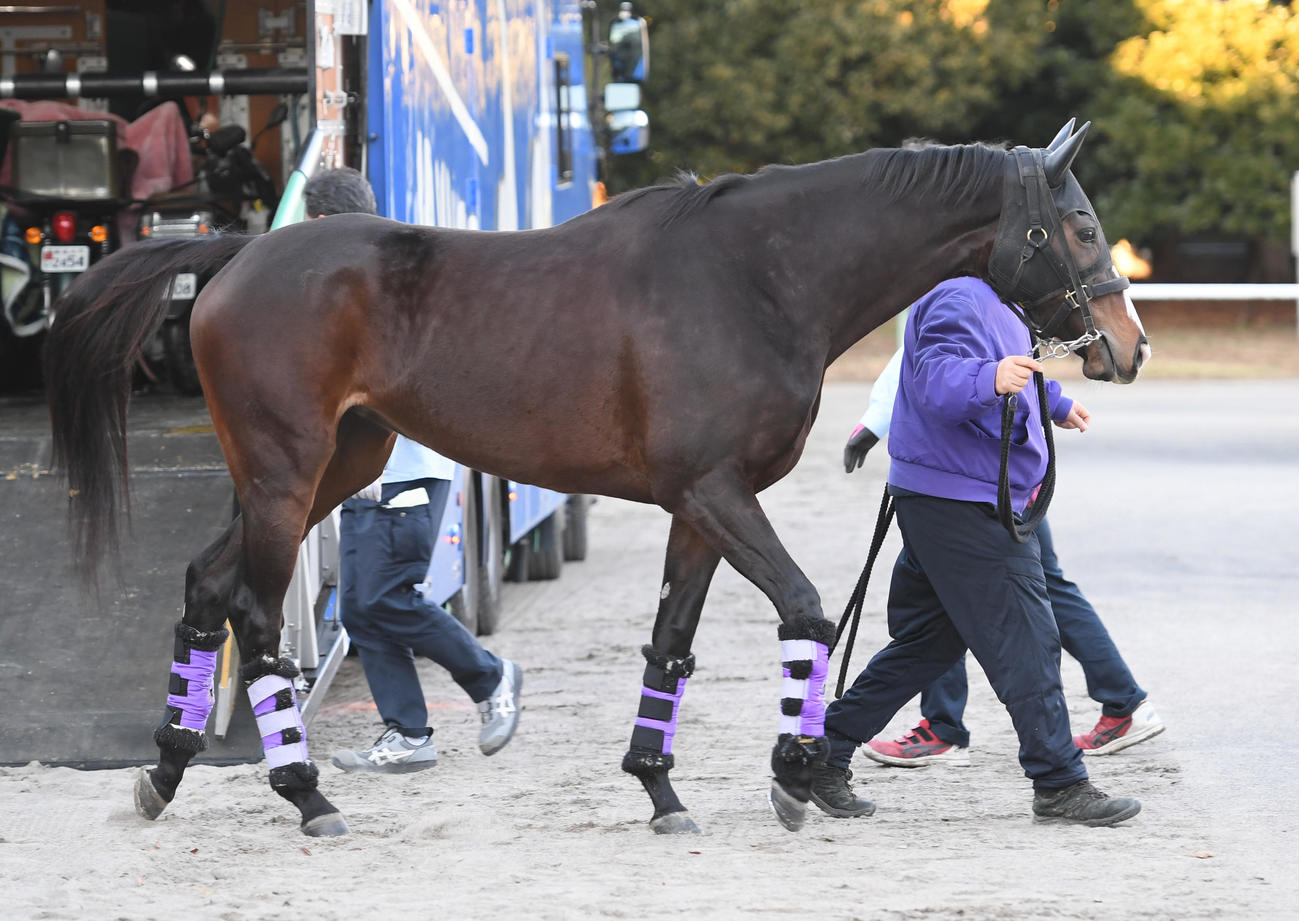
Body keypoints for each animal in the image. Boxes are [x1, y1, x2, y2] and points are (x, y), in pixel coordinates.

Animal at [43, 120, 1148, 837]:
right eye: (1080, 226)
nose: (1127, 347)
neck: (755, 278)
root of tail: (237, 255)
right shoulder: (717, 494)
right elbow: (802, 610)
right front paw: (795, 774)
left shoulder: (699, 509)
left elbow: (672, 644)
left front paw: (660, 787)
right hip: (285, 477)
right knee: (257, 619)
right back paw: (305, 793)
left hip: (331, 466)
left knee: (206, 588)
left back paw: (165, 769)